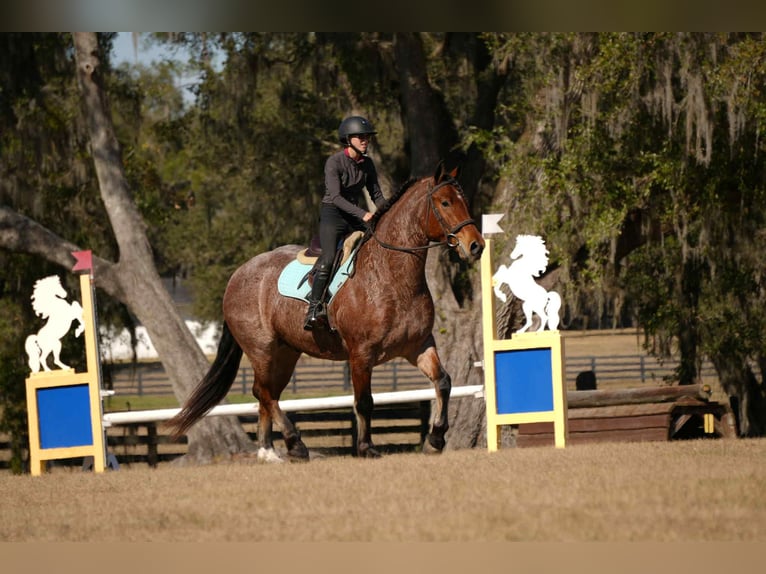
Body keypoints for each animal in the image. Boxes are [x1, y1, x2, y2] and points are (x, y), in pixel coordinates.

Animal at [168, 160, 485, 461]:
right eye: (445, 202)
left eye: (463, 200)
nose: (476, 246)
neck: (391, 275)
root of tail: (237, 275)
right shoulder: (361, 354)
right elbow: (364, 401)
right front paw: (367, 448)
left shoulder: (418, 345)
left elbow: (443, 382)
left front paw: (436, 439)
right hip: (261, 349)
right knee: (264, 392)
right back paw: (295, 444)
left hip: (286, 352)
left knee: (268, 393)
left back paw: (272, 451)